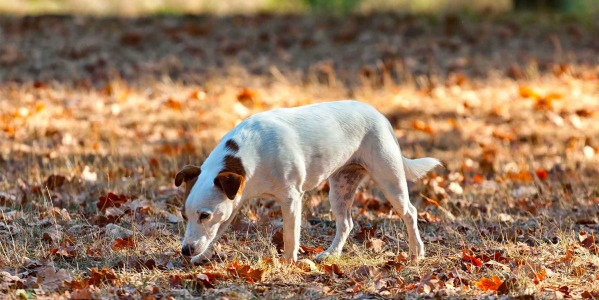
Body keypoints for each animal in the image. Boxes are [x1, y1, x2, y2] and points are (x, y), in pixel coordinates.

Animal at [173, 101, 440, 264]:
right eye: (184, 216)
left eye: (204, 215)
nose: (185, 251)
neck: (248, 155)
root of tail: (380, 116)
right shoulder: (232, 205)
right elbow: (216, 233)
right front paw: (202, 257)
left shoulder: (291, 199)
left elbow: (291, 236)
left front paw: (289, 263)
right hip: (340, 188)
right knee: (346, 223)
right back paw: (331, 254)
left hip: (389, 179)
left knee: (410, 213)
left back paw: (417, 253)